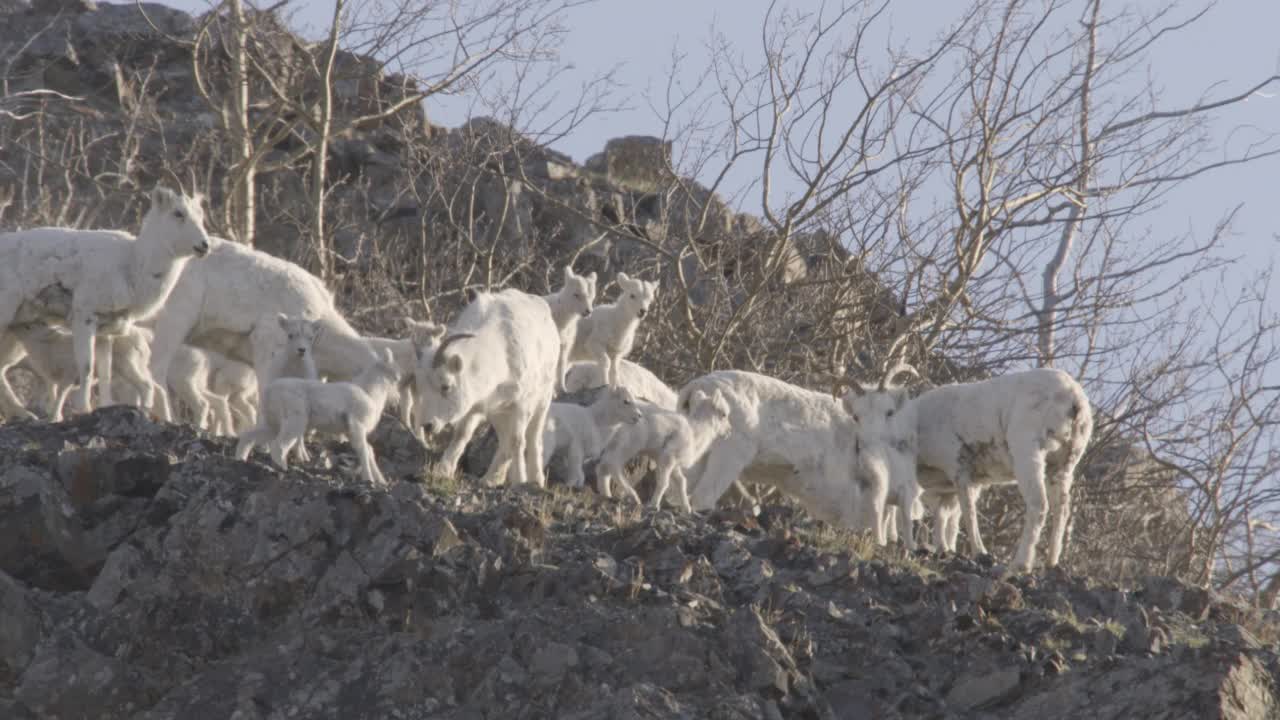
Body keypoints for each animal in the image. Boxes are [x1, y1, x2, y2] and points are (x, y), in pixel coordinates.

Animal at [0, 184, 212, 415]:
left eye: (200, 215)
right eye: (178, 213)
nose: (204, 246)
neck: (131, 265)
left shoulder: (105, 333)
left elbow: (105, 371)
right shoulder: (84, 318)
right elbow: (86, 366)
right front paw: (84, 408)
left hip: (15, 330)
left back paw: (24, 414)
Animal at [235, 345, 401, 484]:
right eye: (395, 376)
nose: (397, 399)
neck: (370, 393)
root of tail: (269, 392)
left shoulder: (351, 432)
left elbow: (369, 450)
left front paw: (380, 481)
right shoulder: (357, 427)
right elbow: (364, 451)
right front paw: (369, 479)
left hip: (273, 425)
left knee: (249, 438)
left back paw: (240, 460)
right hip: (295, 423)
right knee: (279, 447)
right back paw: (284, 470)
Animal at [414, 288, 560, 484]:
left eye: (445, 386)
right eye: (421, 387)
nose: (427, 425)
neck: (502, 353)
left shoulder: (521, 405)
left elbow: (517, 441)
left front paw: (519, 481)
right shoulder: (476, 407)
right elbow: (462, 435)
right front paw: (443, 472)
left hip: (542, 401)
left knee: (532, 438)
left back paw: (535, 480)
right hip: (498, 413)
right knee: (504, 442)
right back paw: (491, 480)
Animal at [596, 386, 732, 509]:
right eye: (723, 414)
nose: (729, 432)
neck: (694, 433)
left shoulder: (674, 464)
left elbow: (681, 482)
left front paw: (687, 509)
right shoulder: (668, 459)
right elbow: (663, 483)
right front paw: (654, 505)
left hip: (615, 445)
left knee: (603, 467)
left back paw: (607, 495)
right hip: (629, 445)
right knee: (612, 464)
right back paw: (634, 497)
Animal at [844, 366, 1095, 568]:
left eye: (889, 412)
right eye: (856, 416)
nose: (869, 442)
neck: (917, 425)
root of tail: (1073, 398)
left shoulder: (959, 473)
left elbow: (967, 513)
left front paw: (978, 552)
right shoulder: (948, 489)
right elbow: (943, 519)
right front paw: (942, 549)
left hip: (1029, 456)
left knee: (1038, 505)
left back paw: (1021, 564)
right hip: (1062, 467)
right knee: (1062, 508)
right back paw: (1052, 562)